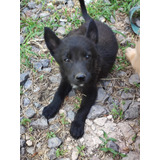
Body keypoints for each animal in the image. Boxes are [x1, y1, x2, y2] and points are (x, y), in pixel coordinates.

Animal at [42, 0, 117, 139]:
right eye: (66, 59)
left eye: (87, 57)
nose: (81, 77)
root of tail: (92, 21)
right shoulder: (65, 79)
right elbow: (58, 93)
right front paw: (51, 107)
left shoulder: (91, 91)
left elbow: (82, 109)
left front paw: (76, 125)